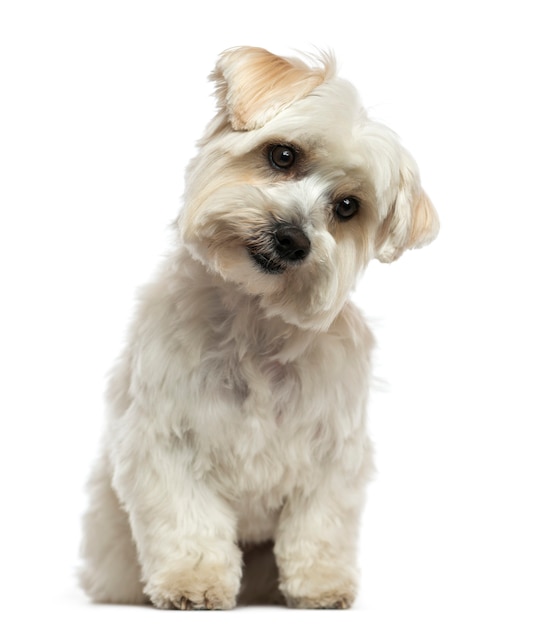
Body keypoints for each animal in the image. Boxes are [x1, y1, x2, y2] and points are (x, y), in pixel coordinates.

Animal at [80, 46, 440, 608]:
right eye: (283, 155)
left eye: (347, 207)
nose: (292, 239)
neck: (256, 322)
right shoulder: (166, 442)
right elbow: (189, 522)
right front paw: (193, 581)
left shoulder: (332, 454)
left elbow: (319, 526)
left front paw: (321, 584)